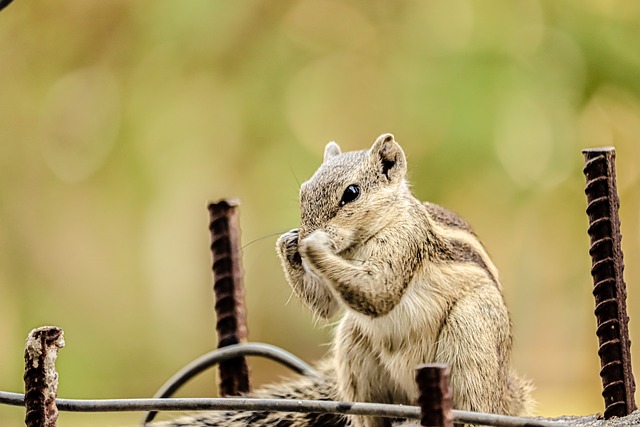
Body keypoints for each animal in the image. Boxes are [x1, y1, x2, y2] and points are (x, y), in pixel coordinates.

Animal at [156, 135, 536, 427]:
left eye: (351, 193)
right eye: (303, 192)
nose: (304, 234)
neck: (355, 246)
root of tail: (506, 400)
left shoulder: (405, 242)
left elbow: (379, 289)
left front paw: (313, 244)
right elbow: (326, 306)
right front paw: (288, 243)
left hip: (471, 334)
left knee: (475, 407)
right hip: (354, 347)